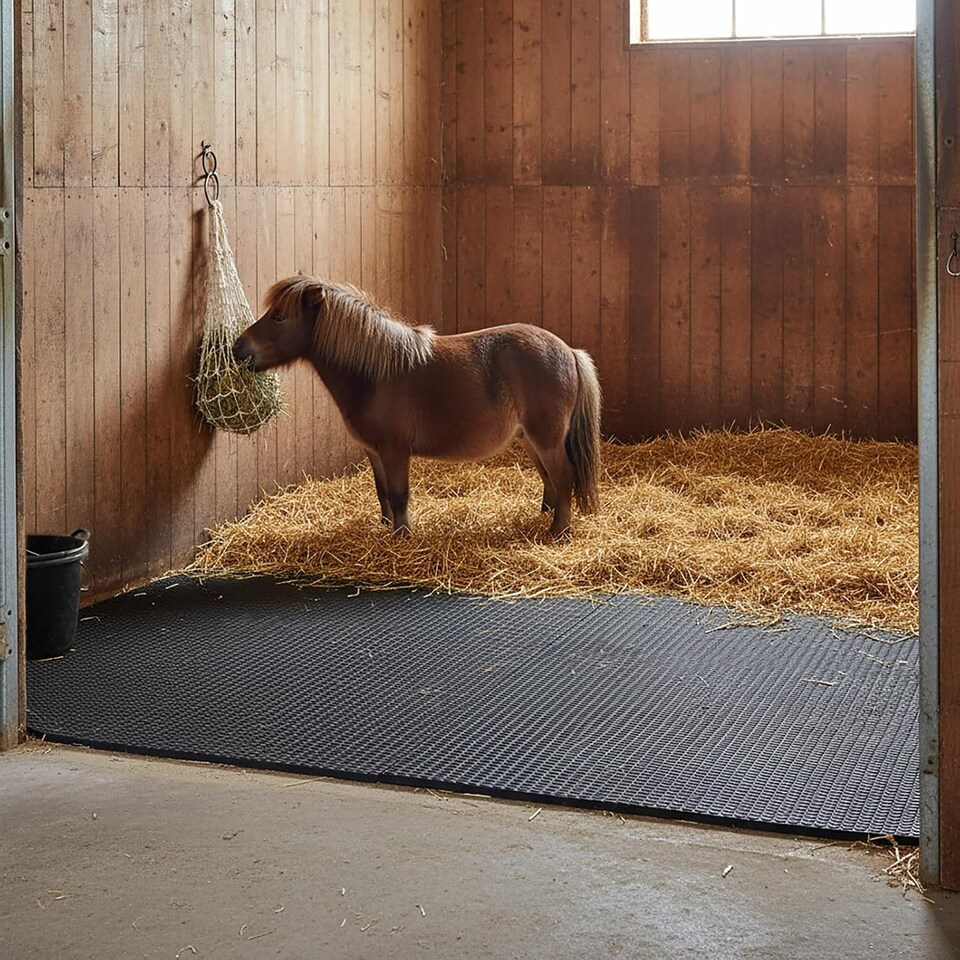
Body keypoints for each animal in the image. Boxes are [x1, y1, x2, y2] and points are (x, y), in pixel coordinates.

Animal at [233, 276, 602, 538]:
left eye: (279, 317)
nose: (238, 347)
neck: (374, 374)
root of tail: (569, 351)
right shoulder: (375, 452)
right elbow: (382, 493)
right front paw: (386, 531)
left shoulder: (395, 450)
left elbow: (399, 495)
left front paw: (403, 537)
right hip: (530, 439)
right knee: (550, 478)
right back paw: (545, 516)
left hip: (546, 438)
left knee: (564, 476)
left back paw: (558, 532)